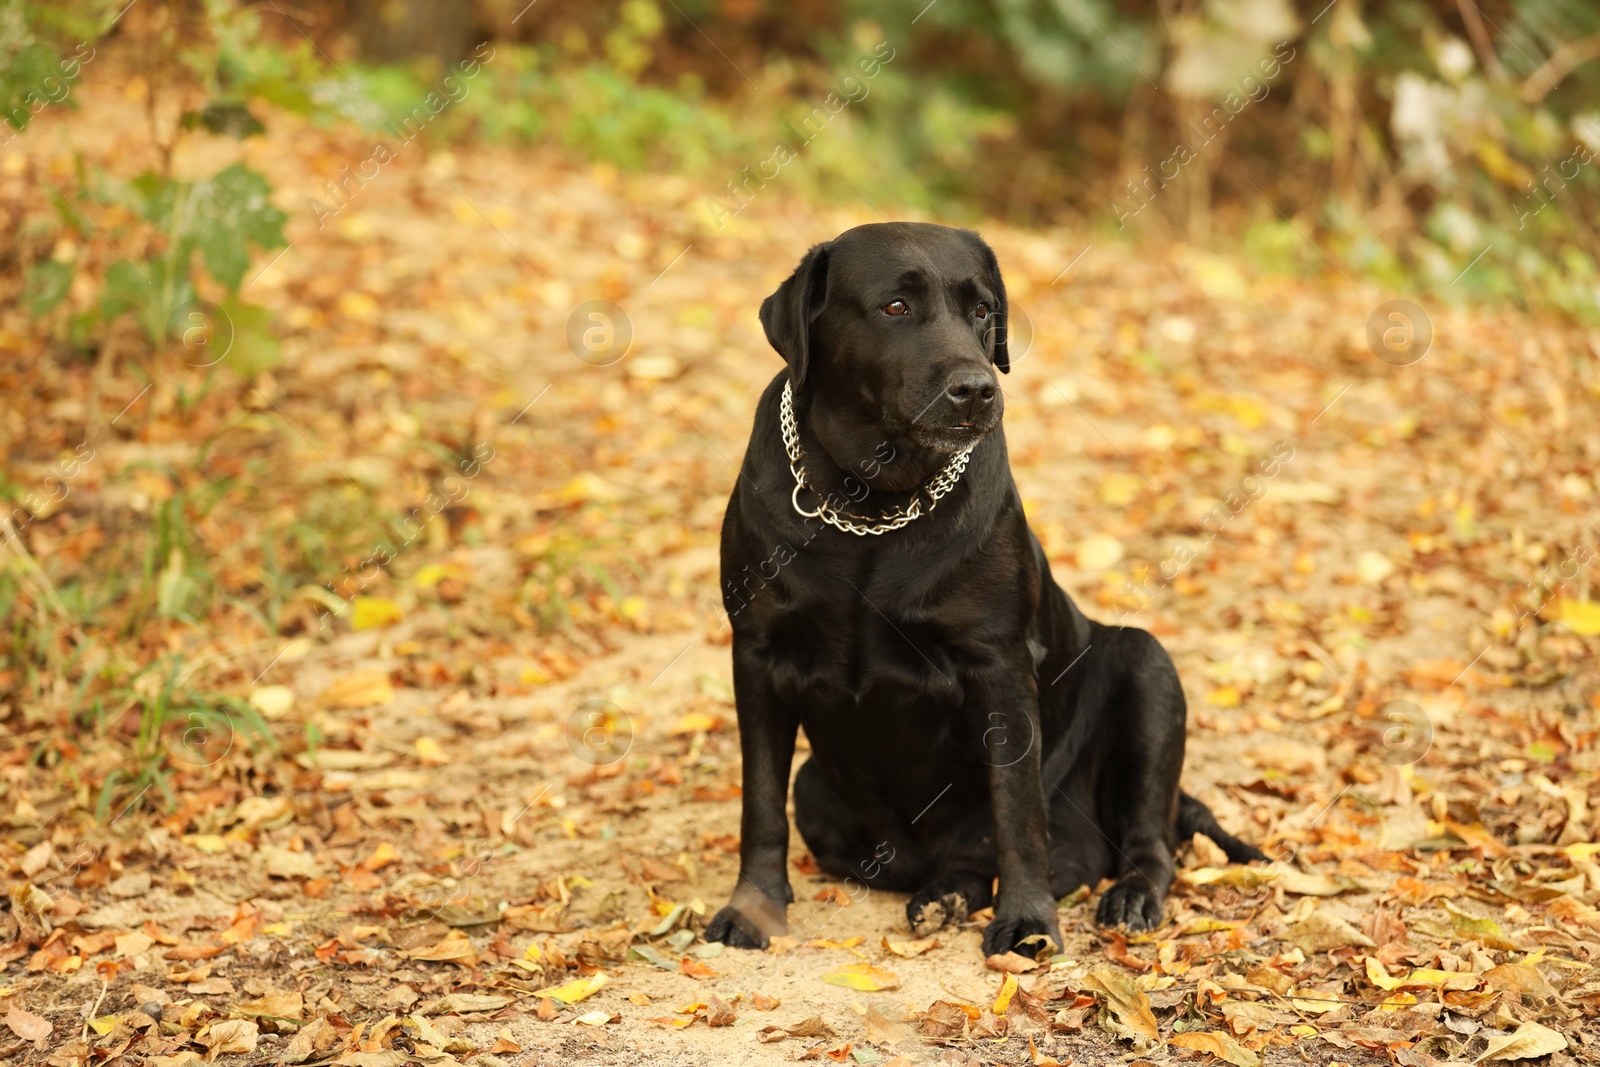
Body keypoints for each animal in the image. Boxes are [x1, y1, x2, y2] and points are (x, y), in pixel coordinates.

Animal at [704, 225, 1260, 959]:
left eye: (982, 310)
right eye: (895, 307)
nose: (976, 389)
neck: (869, 507)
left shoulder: (998, 663)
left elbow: (1017, 807)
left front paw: (1026, 919)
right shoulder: (757, 653)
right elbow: (760, 801)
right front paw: (754, 909)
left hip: (1148, 668)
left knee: (1146, 837)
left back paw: (1129, 894)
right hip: (818, 790)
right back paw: (941, 896)